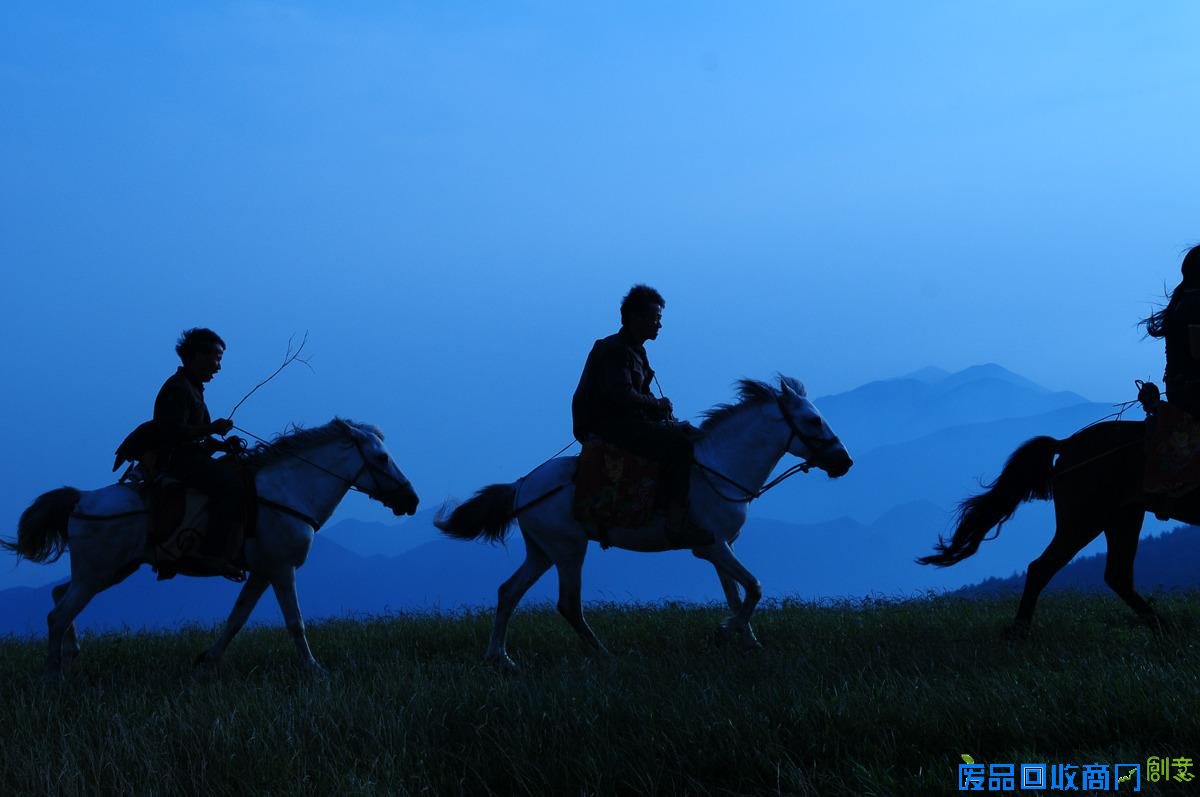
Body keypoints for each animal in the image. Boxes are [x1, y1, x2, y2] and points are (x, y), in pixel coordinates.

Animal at [3, 420, 417, 676]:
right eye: (381, 457)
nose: (411, 500)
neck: (288, 491)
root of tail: (81, 498)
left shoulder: (262, 571)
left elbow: (237, 618)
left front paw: (207, 661)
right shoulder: (282, 569)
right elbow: (294, 622)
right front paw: (315, 670)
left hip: (109, 571)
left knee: (59, 596)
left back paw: (70, 654)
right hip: (97, 573)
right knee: (57, 614)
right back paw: (53, 675)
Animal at [432, 376, 854, 667]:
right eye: (813, 420)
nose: (844, 461)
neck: (720, 468)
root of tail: (523, 485)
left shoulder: (722, 546)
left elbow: (737, 593)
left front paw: (746, 641)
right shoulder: (711, 545)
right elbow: (753, 587)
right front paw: (726, 632)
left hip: (542, 551)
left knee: (508, 592)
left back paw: (500, 658)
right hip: (569, 550)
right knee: (567, 604)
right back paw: (604, 655)